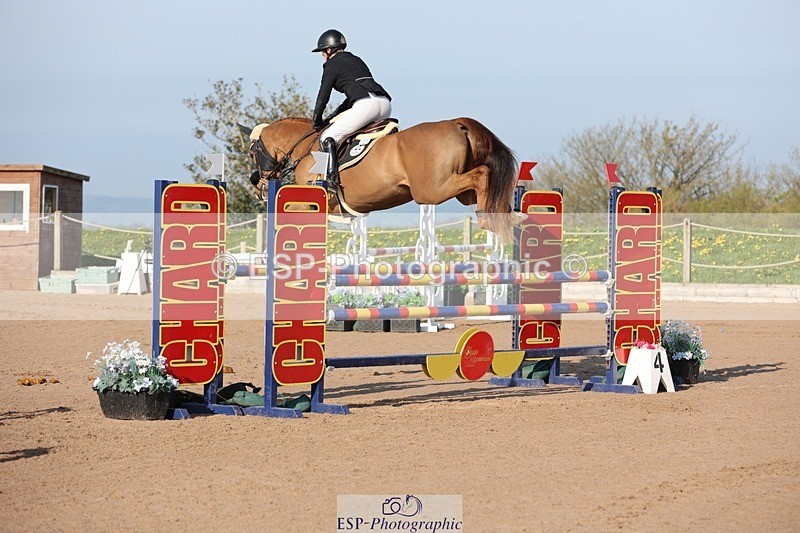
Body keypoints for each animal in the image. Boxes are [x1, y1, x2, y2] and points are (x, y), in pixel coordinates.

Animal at [245, 116, 519, 241]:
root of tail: (456, 124)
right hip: (458, 192)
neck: (306, 148)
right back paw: (504, 216)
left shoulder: (310, 203)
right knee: (486, 186)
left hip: (432, 190)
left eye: (252, 153)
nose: (258, 184)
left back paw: (488, 220)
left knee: (482, 175)